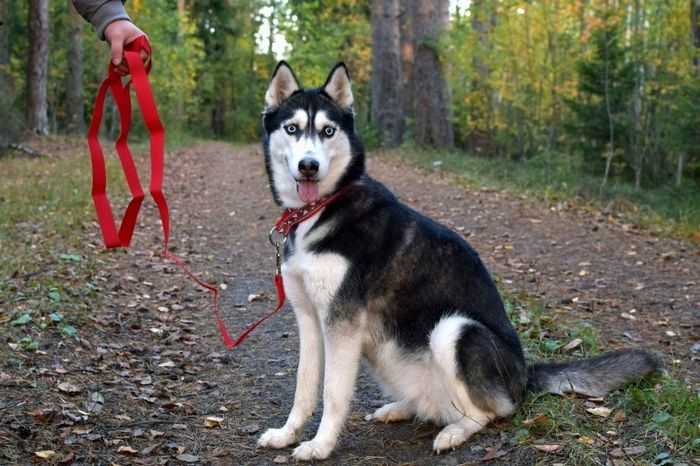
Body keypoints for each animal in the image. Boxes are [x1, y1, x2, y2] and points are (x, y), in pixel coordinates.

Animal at [256, 62, 656, 462]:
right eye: (292, 128)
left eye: (328, 131)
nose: (309, 166)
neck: (319, 209)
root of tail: (524, 375)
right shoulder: (311, 320)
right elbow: (304, 388)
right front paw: (287, 434)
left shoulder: (342, 323)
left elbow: (333, 393)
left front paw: (320, 445)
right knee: (433, 404)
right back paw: (400, 408)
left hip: (454, 330)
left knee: (493, 410)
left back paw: (454, 432)